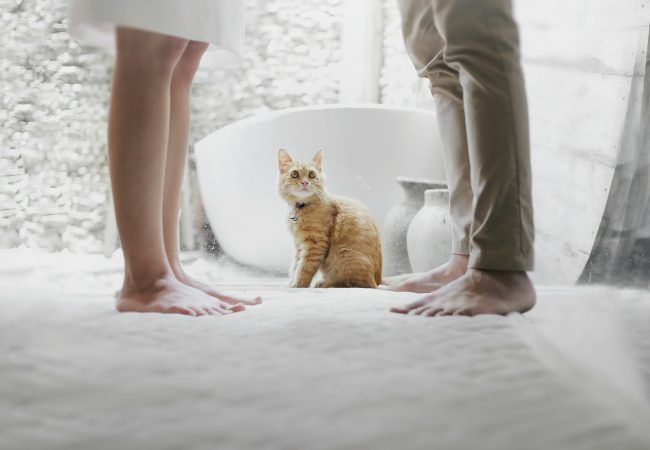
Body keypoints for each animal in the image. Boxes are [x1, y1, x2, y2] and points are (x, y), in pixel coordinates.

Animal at [278, 149, 380, 288]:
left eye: (311, 174)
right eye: (294, 174)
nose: (304, 182)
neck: (301, 207)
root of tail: (379, 280)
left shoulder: (315, 245)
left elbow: (303, 269)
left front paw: (296, 285)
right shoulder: (298, 244)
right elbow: (295, 266)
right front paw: (290, 282)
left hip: (344, 256)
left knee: (350, 283)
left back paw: (323, 284)